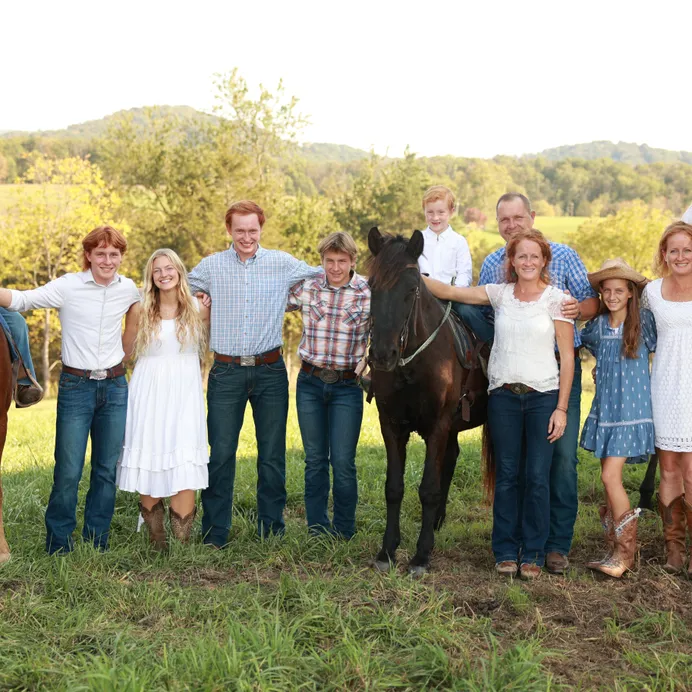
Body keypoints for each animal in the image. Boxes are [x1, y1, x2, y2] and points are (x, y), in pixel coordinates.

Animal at [364, 230, 490, 576]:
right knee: (452, 457)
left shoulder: (438, 425)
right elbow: (394, 487)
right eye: (371, 285)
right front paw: (387, 550)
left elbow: (428, 489)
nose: (382, 354)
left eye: (412, 288)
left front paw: (421, 555)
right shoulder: (391, 425)